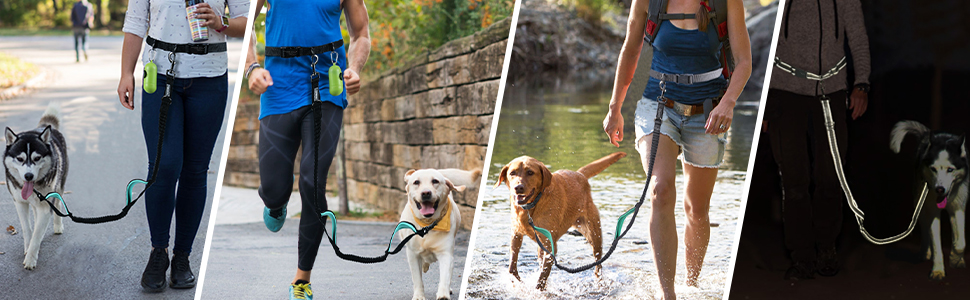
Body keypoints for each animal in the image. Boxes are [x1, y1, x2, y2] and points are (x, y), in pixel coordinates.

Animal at [3, 103, 68, 270]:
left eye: (37, 158)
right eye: (20, 159)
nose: (28, 176)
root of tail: (43, 127)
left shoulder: (46, 205)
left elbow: (39, 230)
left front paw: (31, 258)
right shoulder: (20, 202)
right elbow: (27, 229)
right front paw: (29, 246)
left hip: (59, 185)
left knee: (58, 202)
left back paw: (58, 226)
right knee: (35, 211)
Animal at [398, 169, 478, 300]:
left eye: (435, 181)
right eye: (416, 182)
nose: (426, 193)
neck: (427, 225)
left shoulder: (445, 254)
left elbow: (445, 278)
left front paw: (443, 295)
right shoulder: (413, 255)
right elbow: (417, 279)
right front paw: (419, 296)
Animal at [496, 152, 624, 288]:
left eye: (530, 172)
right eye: (512, 173)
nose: (518, 187)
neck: (531, 207)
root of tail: (580, 174)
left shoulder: (550, 247)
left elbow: (541, 279)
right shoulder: (516, 235)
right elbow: (512, 268)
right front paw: (519, 283)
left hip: (594, 235)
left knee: (598, 263)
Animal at [888, 120, 964, 280]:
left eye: (950, 170)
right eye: (933, 169)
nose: (940, 189)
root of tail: (926, 134)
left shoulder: (958, 207)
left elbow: (960, 242)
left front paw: (955, 258)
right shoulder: (931, 211)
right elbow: (935, 242)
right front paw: (938, 270)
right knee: (924, 230)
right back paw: (925, 252)